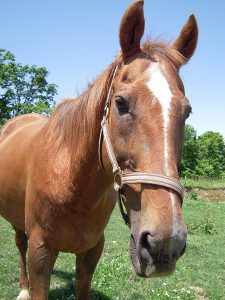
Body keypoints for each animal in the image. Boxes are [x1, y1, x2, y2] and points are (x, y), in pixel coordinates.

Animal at [0, 1, 198, 298]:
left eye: (187, 111)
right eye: (121, 103)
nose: (165, 243)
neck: (73, 184)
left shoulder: (92, 252)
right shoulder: (40, 252)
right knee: (19, 243)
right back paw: (23, 288)